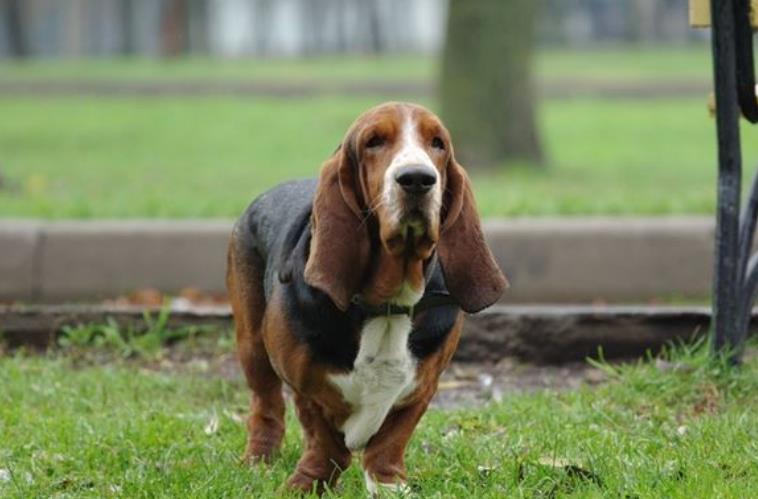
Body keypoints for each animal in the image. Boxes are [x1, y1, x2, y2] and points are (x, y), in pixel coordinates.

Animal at [226, 102, 507, 494]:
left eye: (437, 143)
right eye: (374, 141)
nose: (418, 179)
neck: (386, 303)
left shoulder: (422, 387)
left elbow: (389, 442)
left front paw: (388, 487)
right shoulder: (305, 386)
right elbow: (323, 440)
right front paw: (307, 485)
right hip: (252, 345)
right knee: (265, 405)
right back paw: (258, 460)